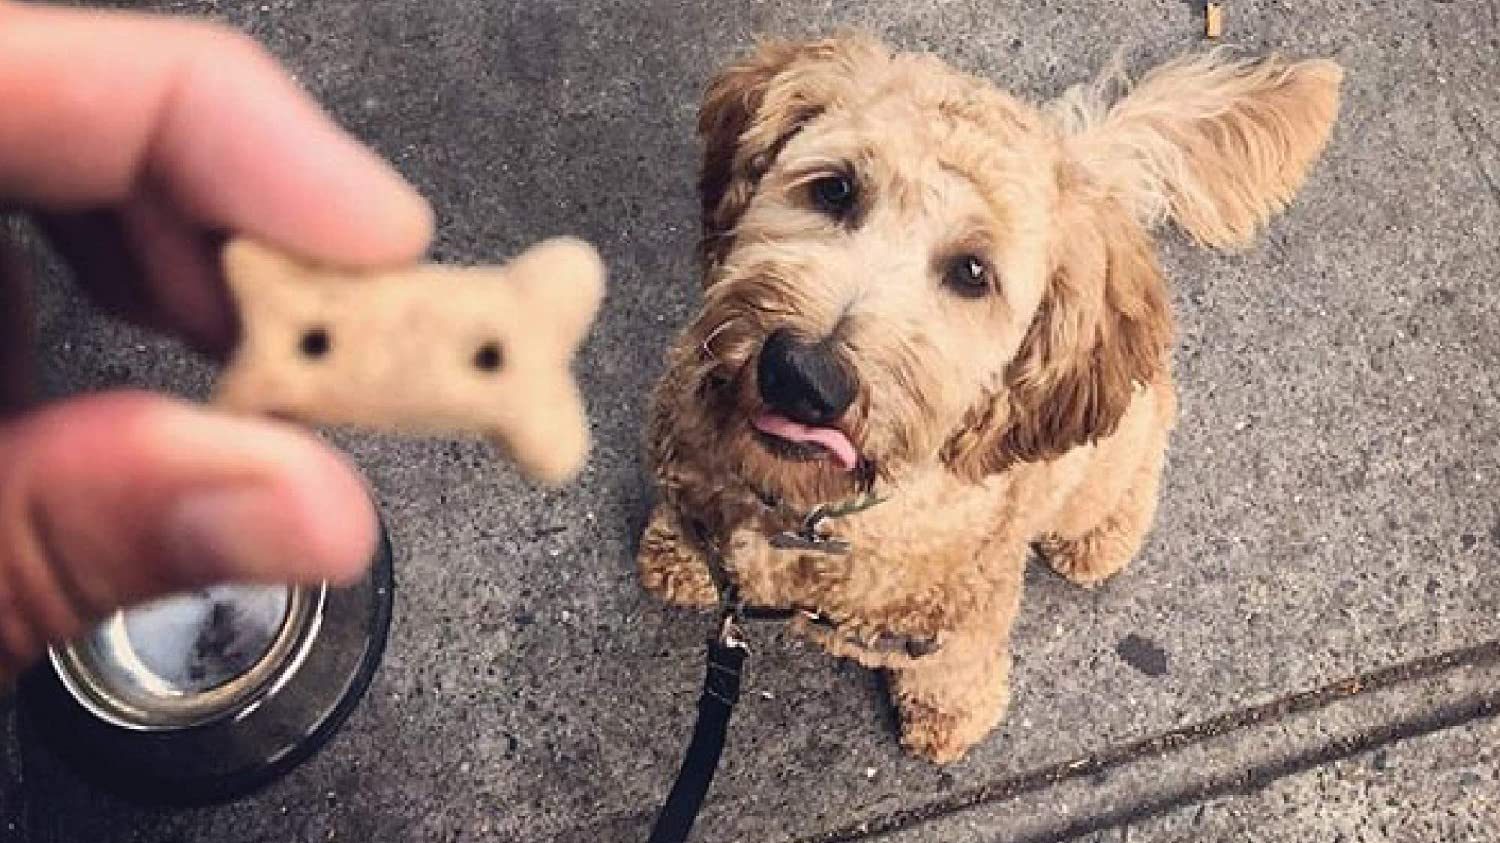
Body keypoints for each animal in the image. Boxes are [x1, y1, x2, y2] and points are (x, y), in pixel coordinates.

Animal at [639, 34, 1344, 762]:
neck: (806, 511)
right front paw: (676, 559)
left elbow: (952, 672)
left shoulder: (959, 623)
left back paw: (1104, 537)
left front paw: (949, 720)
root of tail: (1089, 168)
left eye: (972, 272)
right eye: (835, 188)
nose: (804, 376)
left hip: (1104, 463)